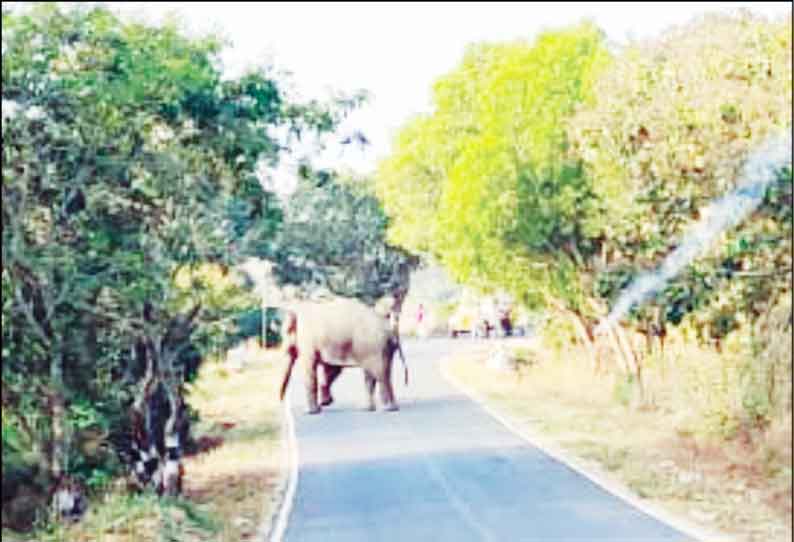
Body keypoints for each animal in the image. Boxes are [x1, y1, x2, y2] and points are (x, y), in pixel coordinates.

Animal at [278, 298, 406, 416]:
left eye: (284, 334)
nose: (280, 403)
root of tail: (389, 327)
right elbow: (333, 368)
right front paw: (325, 403)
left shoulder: (307, 340)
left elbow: (310, 368)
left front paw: (310, 412)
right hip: (375, 348)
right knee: (372, 375)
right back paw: (369, 408)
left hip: (375, 346)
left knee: (380, 375)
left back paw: (387, 409)